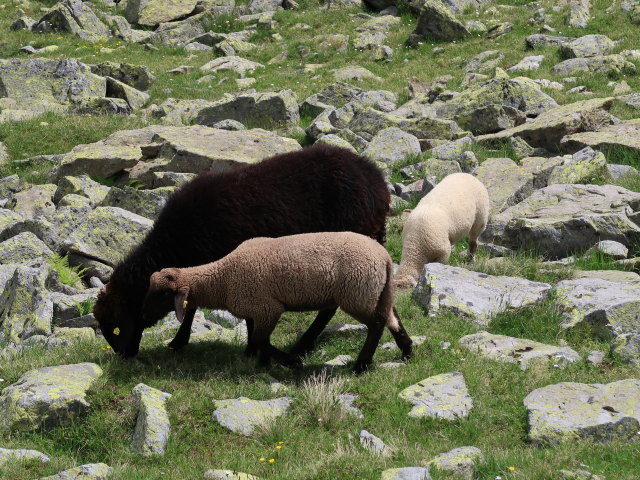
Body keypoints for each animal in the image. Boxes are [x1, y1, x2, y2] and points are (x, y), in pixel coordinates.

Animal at [91, 144, 390, 358]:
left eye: (116, 323)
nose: (123, 355)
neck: (177, 242)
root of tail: (377, 181)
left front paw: (249, 347)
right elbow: (191, 304)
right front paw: (180, 341)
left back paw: (303, 344)